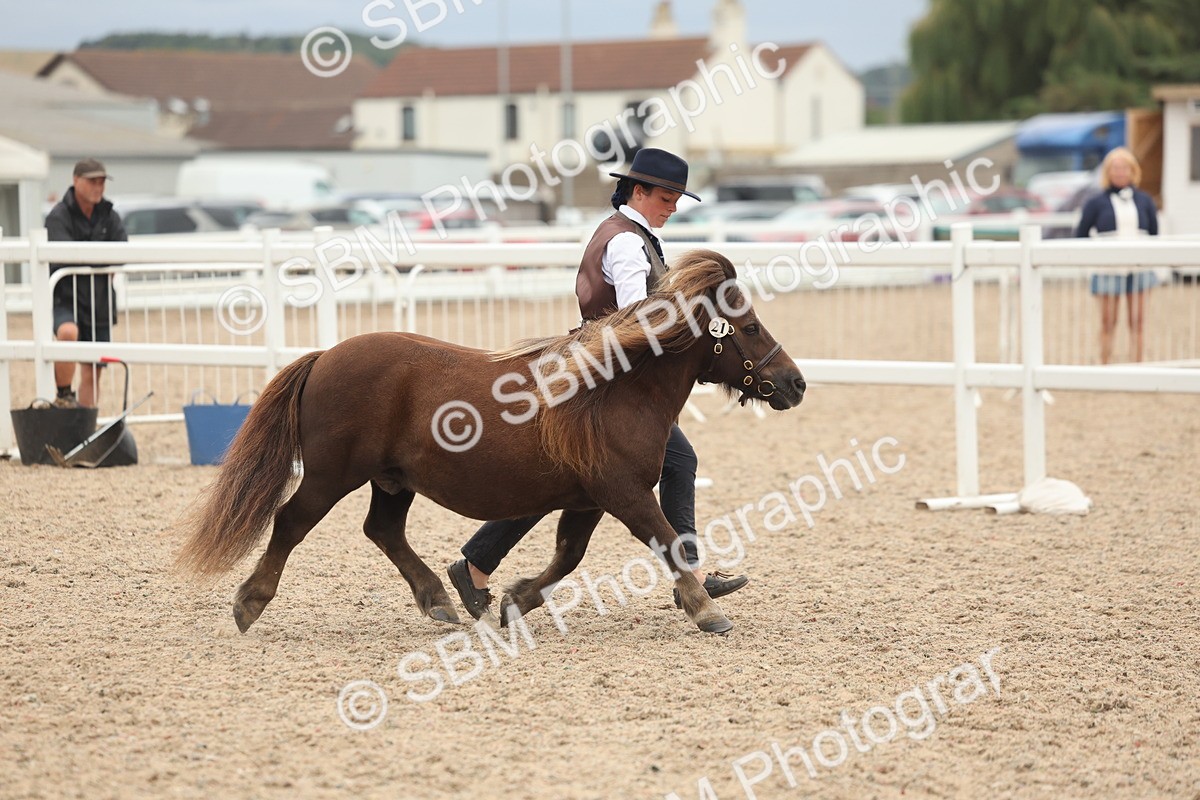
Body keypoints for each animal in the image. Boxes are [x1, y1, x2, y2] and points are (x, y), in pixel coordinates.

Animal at [176, 249, 806, 634]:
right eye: (749, 327)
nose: (795, 383)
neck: (615, 390)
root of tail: (326, 355)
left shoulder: (588, 500)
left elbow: (567, 556)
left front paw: (514, 599)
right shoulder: (624, 494)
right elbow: (669, 542)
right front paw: (705, 609)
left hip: (392, 481)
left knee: (382, 530)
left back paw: (441, 599)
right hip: (333, 475)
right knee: (290, 522)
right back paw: (249, 601)